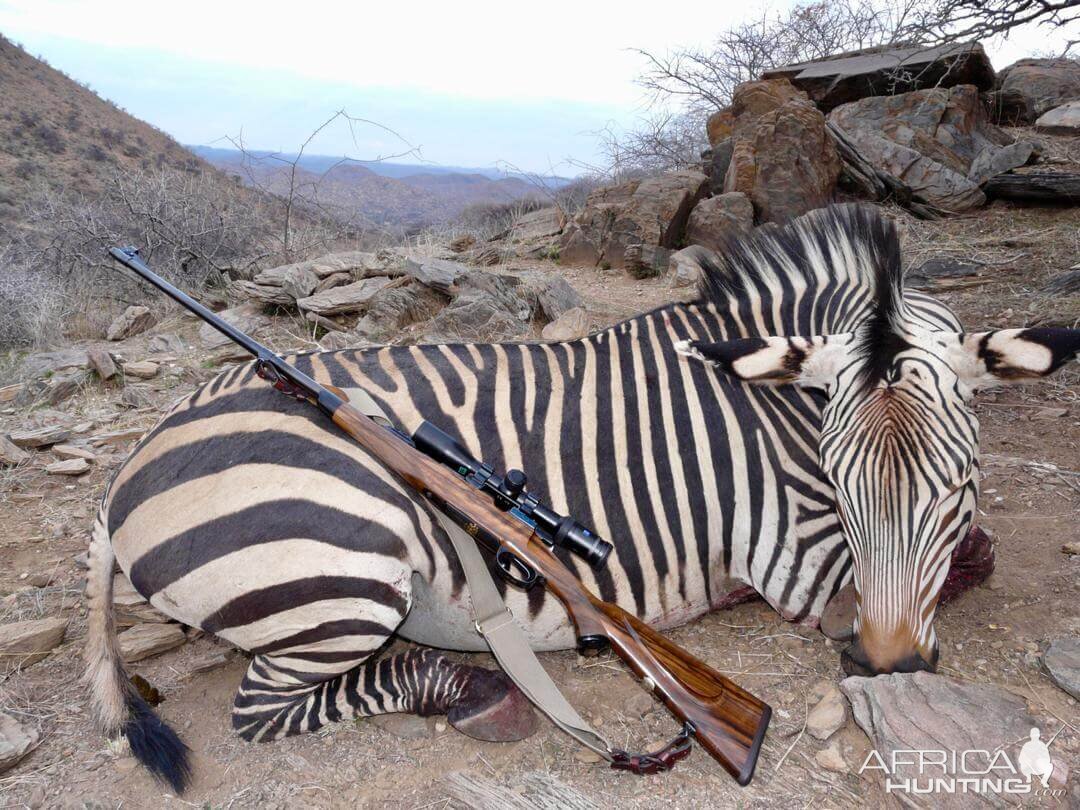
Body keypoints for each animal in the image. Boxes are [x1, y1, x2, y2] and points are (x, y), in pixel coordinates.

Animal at [86, 204, 1080, 794]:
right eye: (837, 481)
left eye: (957, 479)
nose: (887, 663)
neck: (769, 406)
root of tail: (130, 468)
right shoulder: (797, 561)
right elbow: (972, 557)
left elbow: (970, 549)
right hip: (349, 571)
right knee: (266, 708)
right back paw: (479, 693)